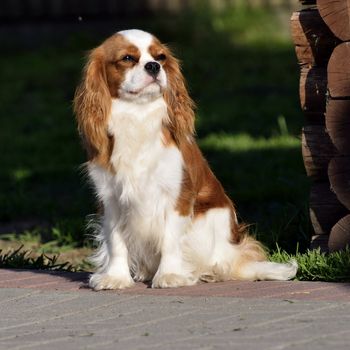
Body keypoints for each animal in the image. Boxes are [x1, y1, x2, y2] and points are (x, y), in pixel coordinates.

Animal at [74, 28, 298, 290]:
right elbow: (115, 241)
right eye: (127, 58)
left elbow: (170, 239)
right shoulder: (109, 198)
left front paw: (170, 275)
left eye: (160, 57)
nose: (153, 66)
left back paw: (210, 272)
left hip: (210, 220)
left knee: (221, 262)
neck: (137, 116)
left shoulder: (177, 196)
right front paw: (116, 277)